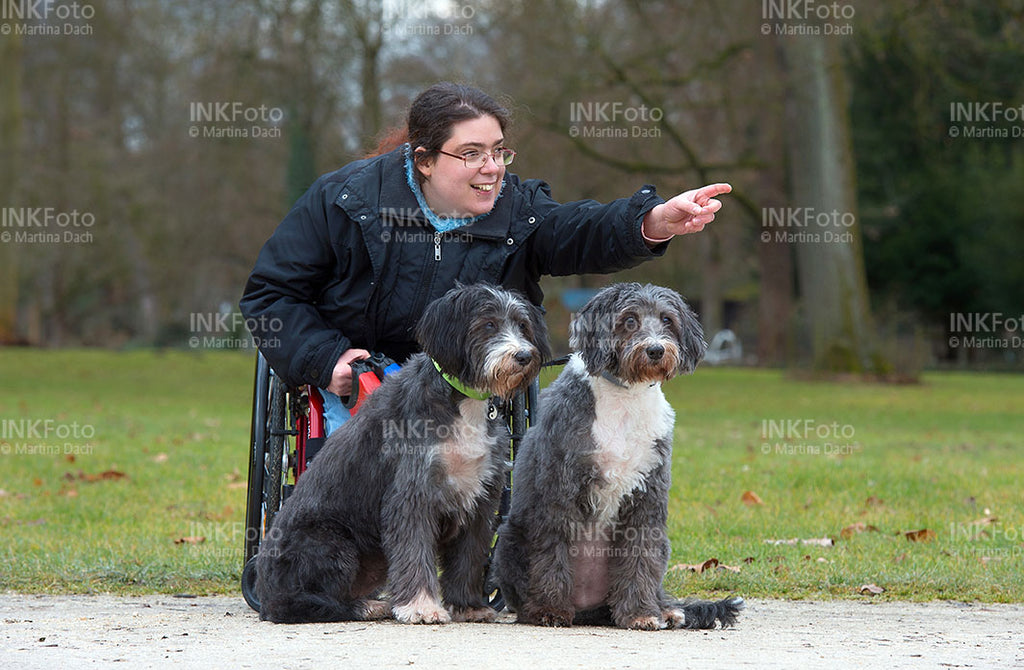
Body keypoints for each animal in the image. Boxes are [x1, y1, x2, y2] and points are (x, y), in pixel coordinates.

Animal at [260, 282, 552, 622]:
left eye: (522, 325)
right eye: (489, 324)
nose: (523, 355)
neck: (462, 402)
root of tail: (263, 587)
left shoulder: (480, 499)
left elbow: (468, 558)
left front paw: (468, 605)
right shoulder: (413, 493)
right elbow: (414, 551)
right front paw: (422, 606)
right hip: (331, 542)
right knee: (301, 602)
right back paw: (364, 606)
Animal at [489, 282, 741, 631]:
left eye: (667, 319)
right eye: (630, 320)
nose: (655, 350)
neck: (625, 395)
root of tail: (589, 610)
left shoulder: (646, 496)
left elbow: (639, 556)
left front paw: (640, 613)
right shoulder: (558, 489)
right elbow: (552, 550)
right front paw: (549, 610)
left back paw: (667, 610)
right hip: (509, 538)